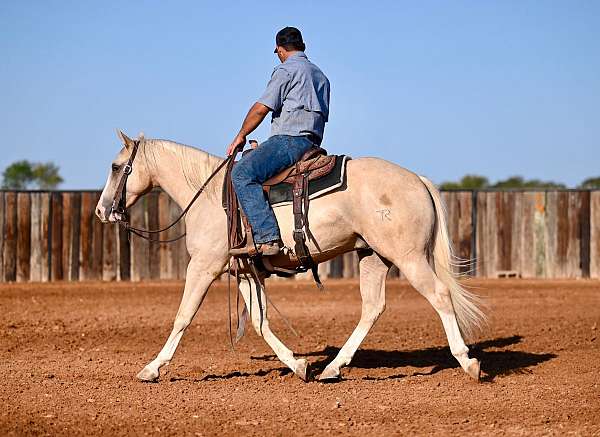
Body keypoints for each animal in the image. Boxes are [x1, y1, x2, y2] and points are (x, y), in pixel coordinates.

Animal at [95, 130, 488, 382]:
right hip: (373, 257)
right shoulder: (244, 272)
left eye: (115, 167)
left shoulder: (204, 267)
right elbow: (259, 321)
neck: (208, 195)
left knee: (439, 296)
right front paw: (298, 366)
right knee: (373, 308)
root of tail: (418, 179)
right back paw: (332, 368)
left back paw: (468, 364)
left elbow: (183, 316)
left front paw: (152, 368)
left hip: (408, 257)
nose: (101, 210)